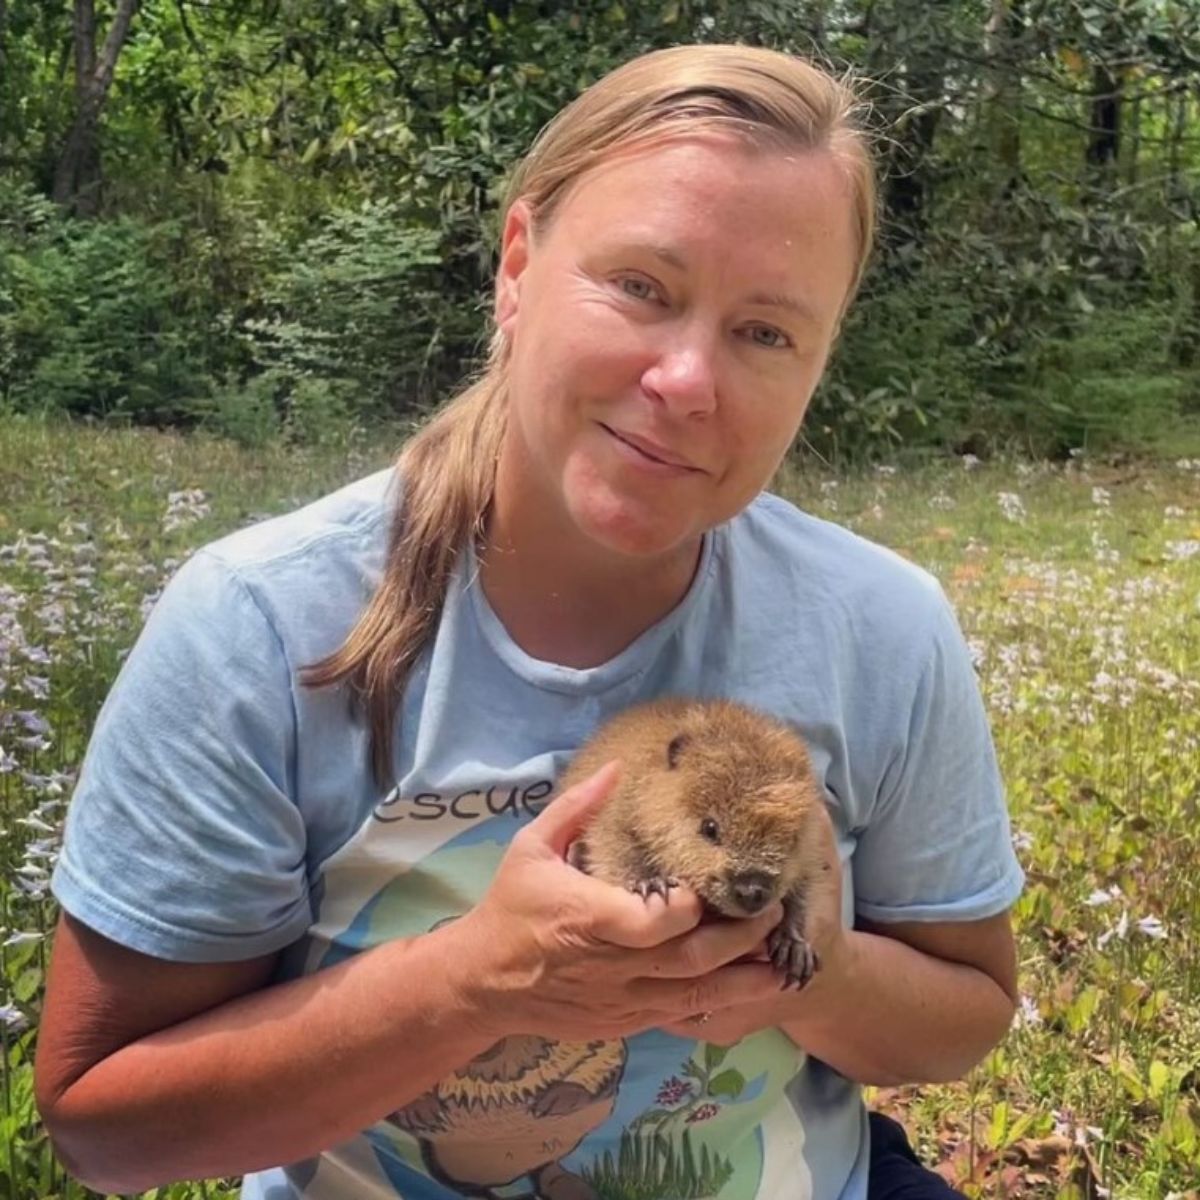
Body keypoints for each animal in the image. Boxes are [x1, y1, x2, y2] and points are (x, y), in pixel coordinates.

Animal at [559, 700, 825, 988]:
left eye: (793, 838)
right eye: (710, 827)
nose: (752, 891)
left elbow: (804, 887)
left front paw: (794, 948)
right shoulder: (619, 801)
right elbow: (613, 844)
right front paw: (652, 884)